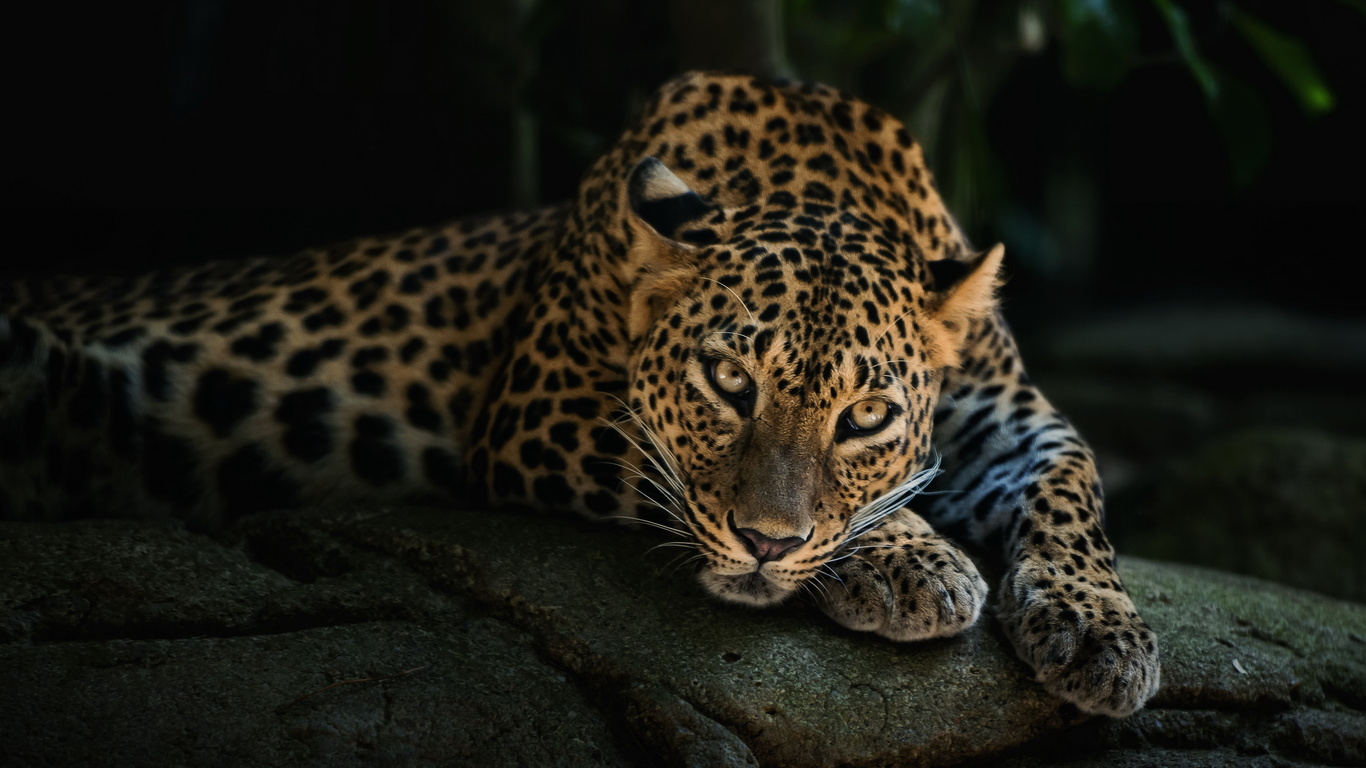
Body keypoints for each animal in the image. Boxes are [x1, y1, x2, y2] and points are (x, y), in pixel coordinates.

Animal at [0, 71, 1159, 717]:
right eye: (727, 381)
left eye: (865, 416)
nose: (768, 546)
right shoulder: (537, 411)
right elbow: (681, 476)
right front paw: (915, 560)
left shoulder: (1010, 415)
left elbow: (1074, 487)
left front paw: (1100, 631)